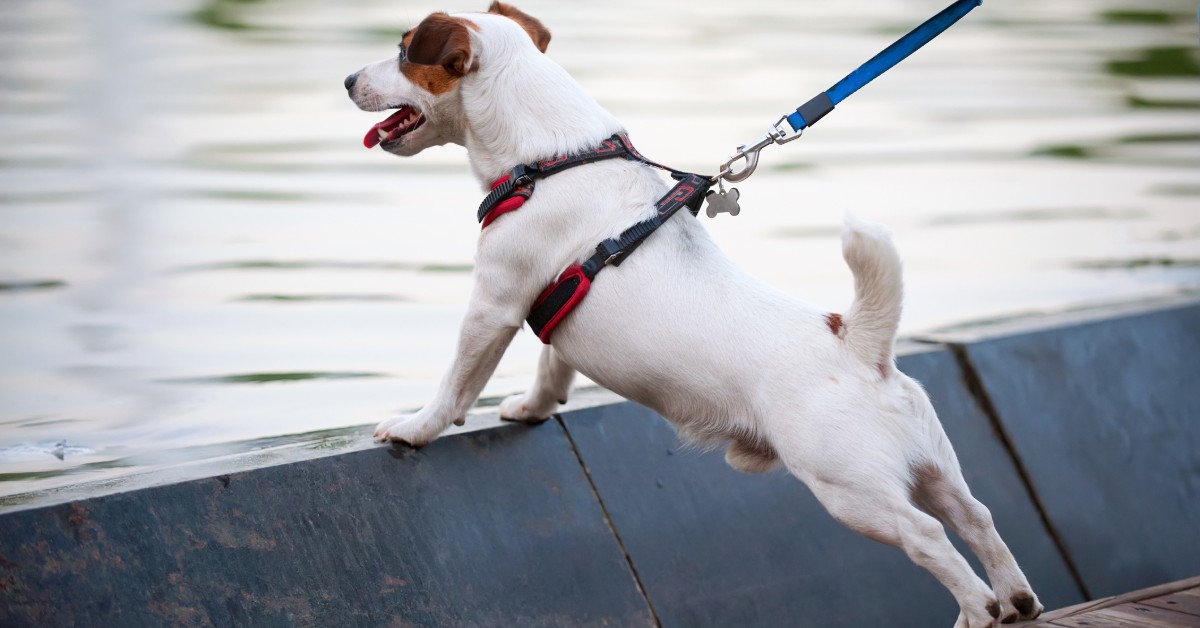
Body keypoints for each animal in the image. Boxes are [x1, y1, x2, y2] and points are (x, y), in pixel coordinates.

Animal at [345, 3, 1041, 624]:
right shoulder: (554, 315)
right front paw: (532, 408)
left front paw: (414, 428)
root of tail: (860, 347)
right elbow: (552, 367)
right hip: (931, 467)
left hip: (851, 490)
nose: (348, 79)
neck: (554, 157)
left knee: (929, 538)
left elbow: (457, 384)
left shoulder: (494, 304)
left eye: (404, 51)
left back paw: (977, 612)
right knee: (976, 517)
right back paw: (1016, 600)